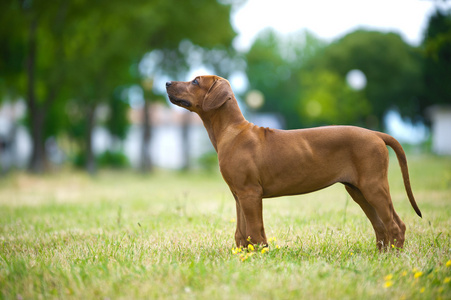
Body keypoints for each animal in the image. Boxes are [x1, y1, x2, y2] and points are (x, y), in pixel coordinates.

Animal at [166, 75, 424, 251]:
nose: (167, 82)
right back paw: (382, 255)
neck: (232, 131)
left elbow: (254, 230)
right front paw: (245, 255)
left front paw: (258, 255)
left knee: (395, 225)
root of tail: (376, 134)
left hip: (373, 186)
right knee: (380, 226)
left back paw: (394, 257)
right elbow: (241, 231)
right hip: (358, 191)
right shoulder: (238, 194)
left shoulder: (250, 193)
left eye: (195, 81)